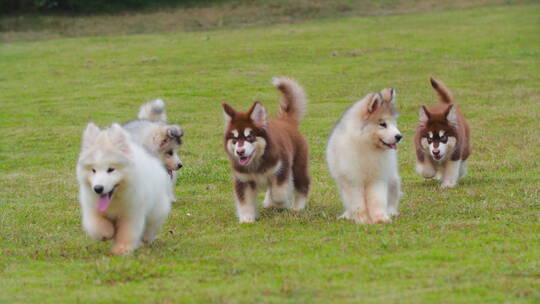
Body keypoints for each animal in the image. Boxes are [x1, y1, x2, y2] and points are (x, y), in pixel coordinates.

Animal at [76, 123, 172, 254]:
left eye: (111, 169)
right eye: (93, 170)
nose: (98, 188)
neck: (114, 200)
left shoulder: (131, 214)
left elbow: (127, 233)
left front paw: (122, 249)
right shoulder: (92, 210)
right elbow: (96, 226)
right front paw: (107, 232)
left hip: (157, 208)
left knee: (152, 225)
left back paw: (146, 238)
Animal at [221, 76, 310, 223]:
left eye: (249, 137)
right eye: (234, 139)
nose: (240, 152)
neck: (256, 163)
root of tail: (285, 120)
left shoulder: (281, 170)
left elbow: (279, 194)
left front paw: (280, 204)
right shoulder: (243, 180)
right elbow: (244, 201)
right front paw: (246, 218)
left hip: (298, 166)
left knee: (303, 185)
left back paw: (297, 207)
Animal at [324, 87, 400, 223]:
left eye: (394, 123)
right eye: (382, 124)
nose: (399, 136)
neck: (367, 146)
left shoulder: (377, 179)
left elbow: (377, 201)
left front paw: (380, 218)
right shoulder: (352, 180)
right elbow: (358, 204)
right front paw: (363, 220)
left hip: (393, 180)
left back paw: (391, 212)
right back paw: (347, 215)